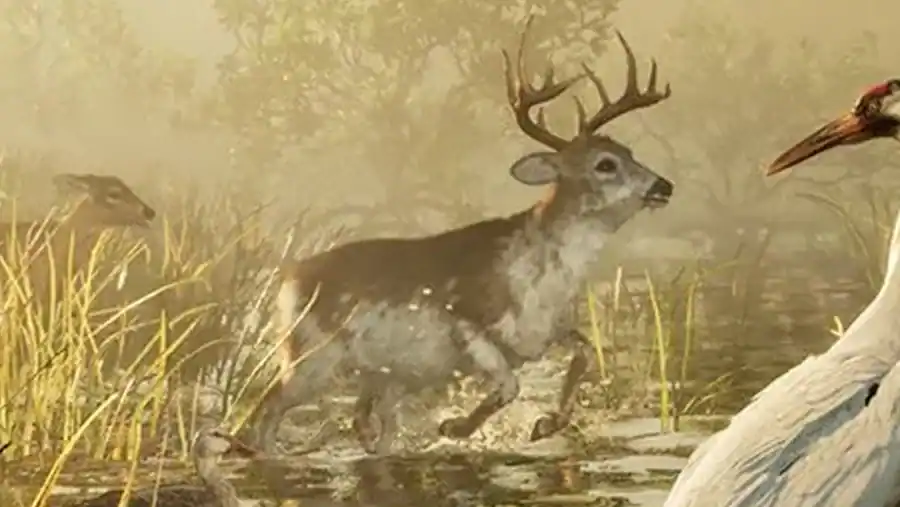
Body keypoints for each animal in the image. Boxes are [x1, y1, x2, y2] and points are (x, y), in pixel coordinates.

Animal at [247, 18, 674, 456]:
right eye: (605, 164)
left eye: (630, 153)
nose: (664, 186)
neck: (539, 281)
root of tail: (286, 280)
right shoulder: (466, 319)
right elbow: (508, 386)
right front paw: (454, 427)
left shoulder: (544, 335)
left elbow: (585, 354)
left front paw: (545, 424)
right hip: (309, 356)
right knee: (262, 414)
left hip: (373, 376)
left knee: (365, 426)